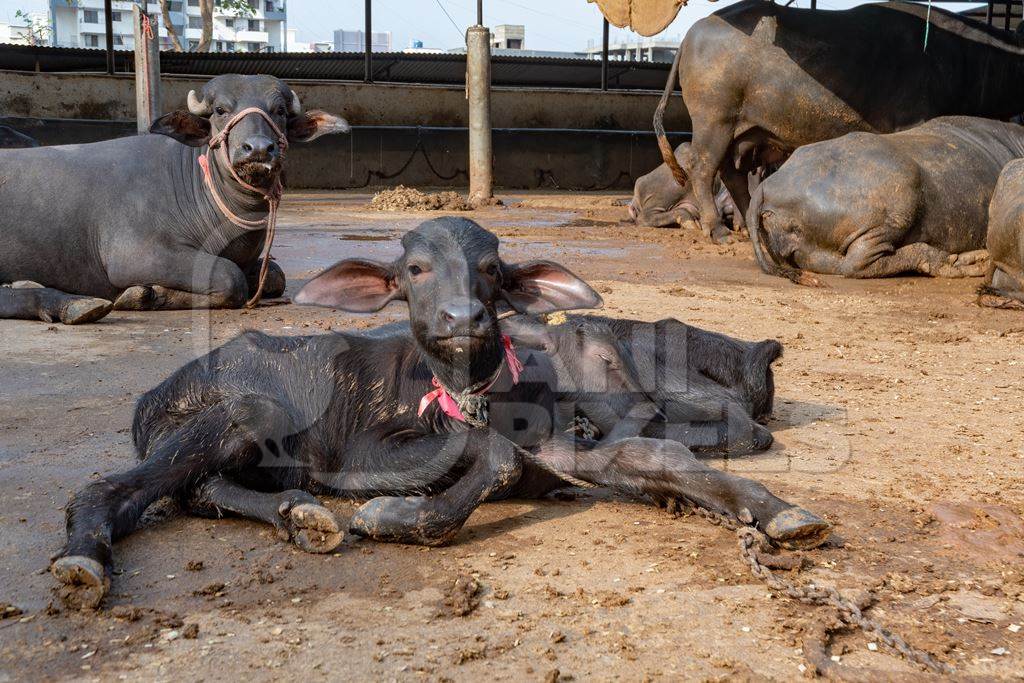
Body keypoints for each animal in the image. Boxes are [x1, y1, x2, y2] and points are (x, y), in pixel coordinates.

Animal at [0, 73, 348, 325]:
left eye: (278, 111)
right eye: (220, 111)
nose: (259, 148)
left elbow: (275, 275)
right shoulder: (134, 255)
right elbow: (230, 278)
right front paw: (143, 296)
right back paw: (71, 303)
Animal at [51, 219, 827, 610]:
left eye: (492, 269)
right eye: (415, 270)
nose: (463, 316)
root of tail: (153, 395)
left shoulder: (572, 441)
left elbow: (656, 457)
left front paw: (779, 511)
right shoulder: (362, 452)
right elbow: (494, 460)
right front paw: (396, 516)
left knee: (199, 488)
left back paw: (301, 517)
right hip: (244, 410)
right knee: (119, 488)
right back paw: (83, 559)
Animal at [655, 0, 1024, 244]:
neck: (967, 59)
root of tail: (690, 35)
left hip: (743, 130)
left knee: (732, 173)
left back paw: (745, 226)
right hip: (714, 119)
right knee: (704, 169)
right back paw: (718, 230)